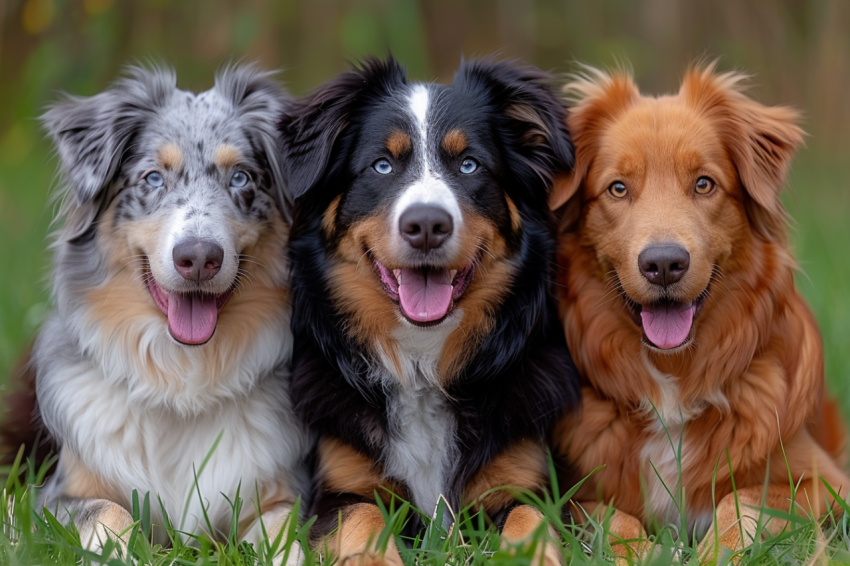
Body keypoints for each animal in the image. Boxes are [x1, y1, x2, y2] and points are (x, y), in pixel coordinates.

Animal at [282, 57, 580, 566]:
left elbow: (530, 521)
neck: (423, 360)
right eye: (382, 165)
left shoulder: (527, 482)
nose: (425, 225)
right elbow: (363, 519)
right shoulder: (338, 490)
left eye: (469, 164)